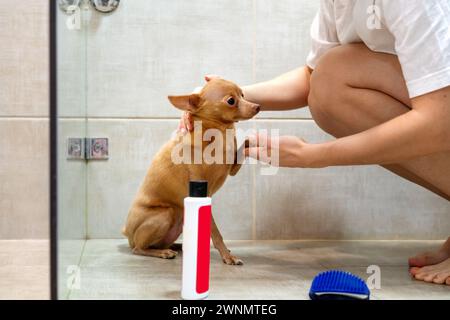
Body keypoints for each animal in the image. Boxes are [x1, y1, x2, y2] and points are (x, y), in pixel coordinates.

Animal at [121, 79, 260, 264]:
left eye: (243, 94)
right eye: (231, 101)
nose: (257, 106)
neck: (219, 132)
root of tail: (127, 231)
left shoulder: (232, 169)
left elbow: (243, 146)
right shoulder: (203, 192)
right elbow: (215, 232)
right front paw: (227, 256)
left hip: (180, 218)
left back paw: (179, 246)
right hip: (165, 214)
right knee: (139, 248)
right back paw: (163, 252)